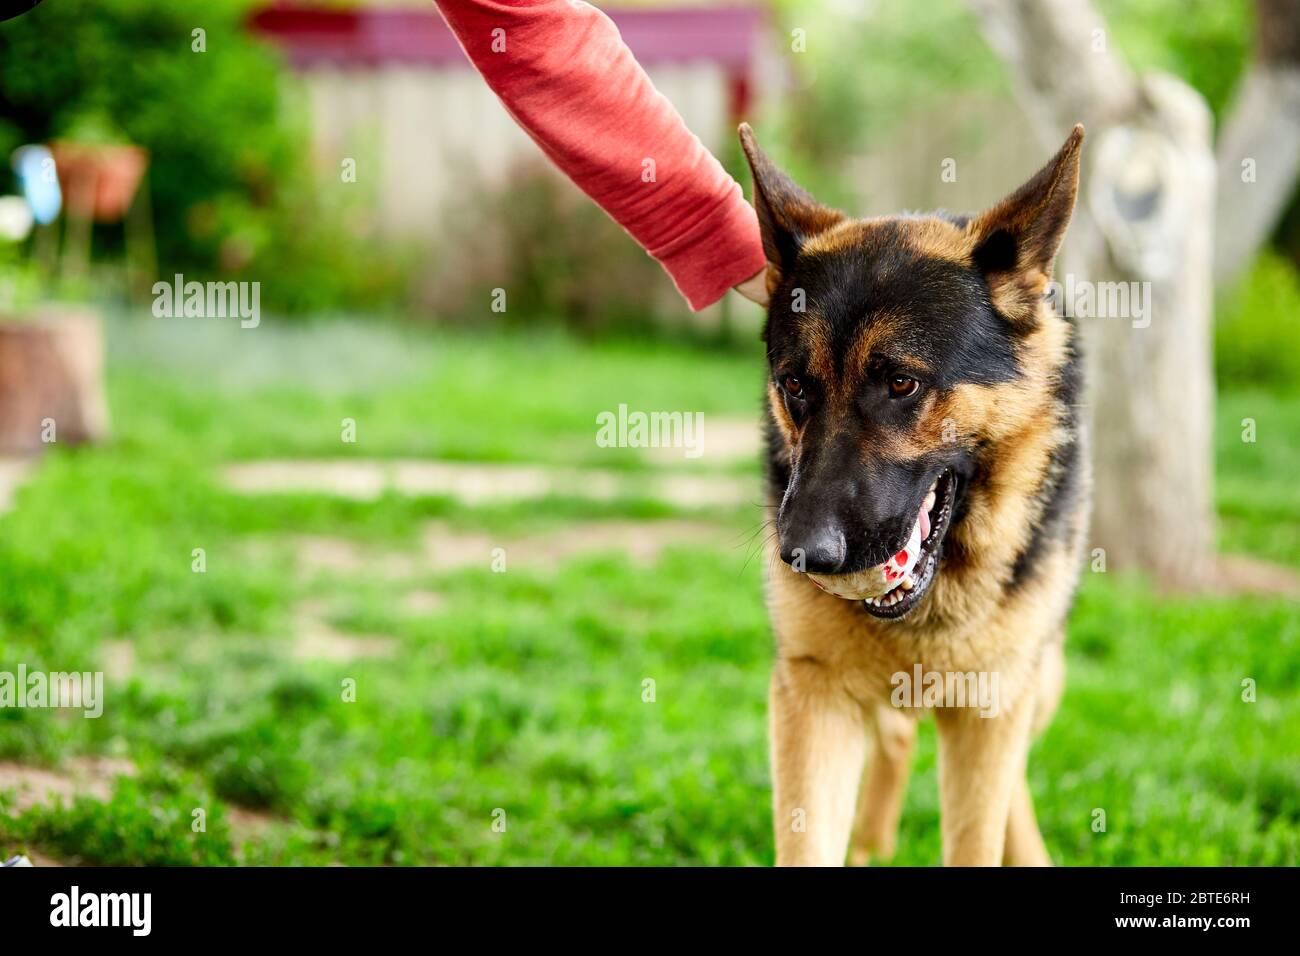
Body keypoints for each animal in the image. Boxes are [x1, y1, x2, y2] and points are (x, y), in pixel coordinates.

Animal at [743, 121, 1086, 868]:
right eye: (794, 386)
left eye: (901, 383)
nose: (803, 553)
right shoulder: (814, 694)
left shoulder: (992, 705)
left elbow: (980, 831)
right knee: (898, 735)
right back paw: (872, 845)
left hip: (1038, 678)